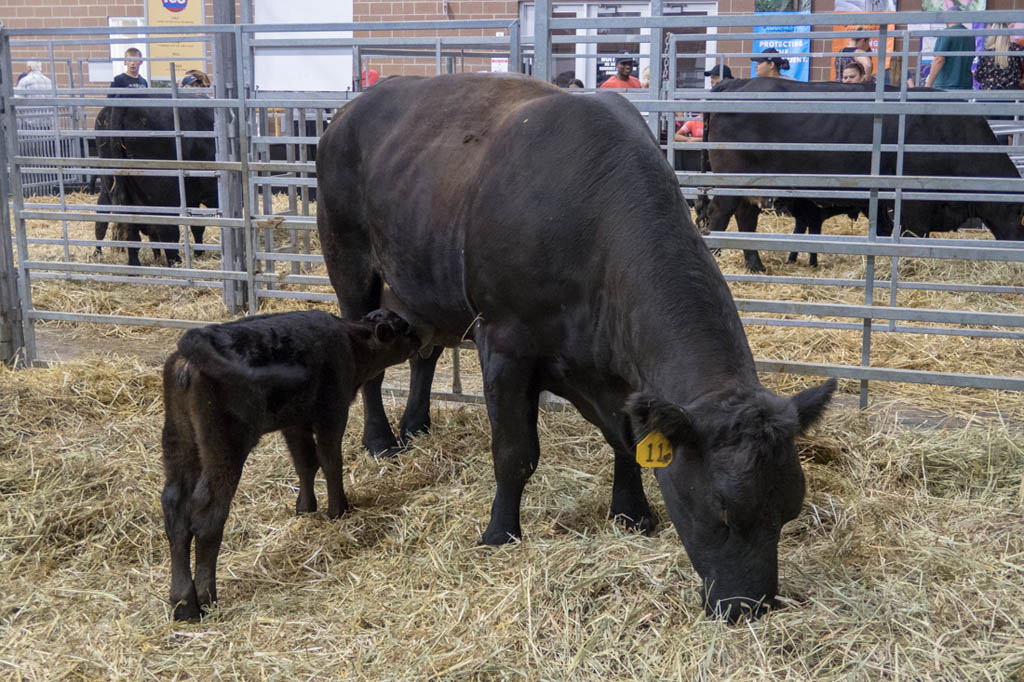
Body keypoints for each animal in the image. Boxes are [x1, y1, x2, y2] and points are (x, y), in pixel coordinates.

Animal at [94, 96, 218, 264]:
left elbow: (197, 227)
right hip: (163, 195)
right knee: (167, 231)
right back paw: (176, 263)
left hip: (112, 186)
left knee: (122, 229)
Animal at [156, 311, 419, 618]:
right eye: (404, 329)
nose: (420, 336)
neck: (352, 342)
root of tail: (196, 339)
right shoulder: (331, 412)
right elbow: (330, 461)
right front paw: (338, 509)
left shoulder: (295, 421)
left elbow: (305, 463)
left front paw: (305, 508)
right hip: (224, 445)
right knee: (207, 513)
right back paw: (206, 598)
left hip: (179, 441)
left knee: (175, 509)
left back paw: (183, 604)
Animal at [315, 75, 835, 622]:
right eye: (722, 510)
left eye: (790, 511)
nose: (750, 607)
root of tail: (348, 110)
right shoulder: (504, 344)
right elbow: (515, 452)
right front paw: (500, 532)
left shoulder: (614, 373)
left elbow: (627, 441)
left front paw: (632, 513)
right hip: (350, 264)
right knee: (370, 362)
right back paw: (380, 440)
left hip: (421, 282)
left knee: (424, 352)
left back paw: (415, 424)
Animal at [704, 78, 1024, 272]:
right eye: (1021, 215)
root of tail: (739, 82)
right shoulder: (915, 205)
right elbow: (914, 236)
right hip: (733, 181)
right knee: (722, 215)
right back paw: (719, 257)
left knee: (745, 217)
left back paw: (753, 262)